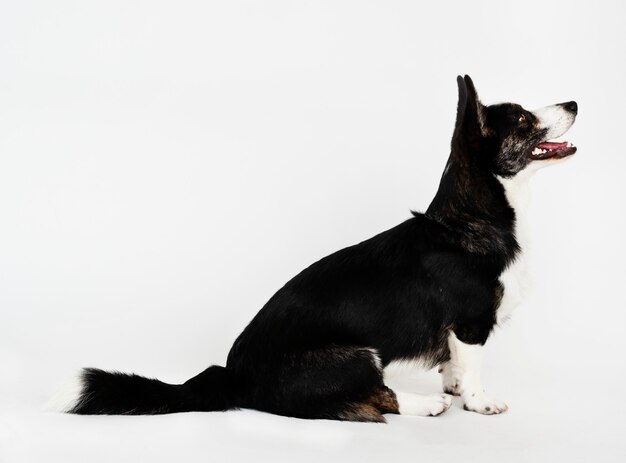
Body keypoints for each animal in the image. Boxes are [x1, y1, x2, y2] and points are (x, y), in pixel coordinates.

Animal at [53, 74, 576, 422]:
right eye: (523, 118)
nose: (573, 101)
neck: (476, 215)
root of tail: (232, 375)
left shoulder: (456, 335)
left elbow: (452, 364)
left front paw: (455, 386)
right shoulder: (471, 325)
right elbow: (472, 368)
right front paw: (478, 401)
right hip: (360, 355)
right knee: (373, 401)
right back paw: (427, 404)